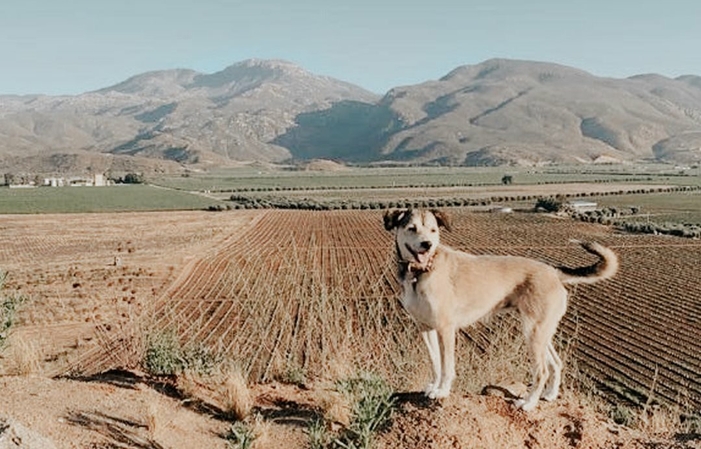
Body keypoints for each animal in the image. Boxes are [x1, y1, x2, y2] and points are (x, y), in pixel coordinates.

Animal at [382, 208, 616, 412]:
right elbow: (435, 362)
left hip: (533, 333)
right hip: (542, 332)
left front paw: (443, 391)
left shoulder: (446, 328)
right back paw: (549, 395)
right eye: (412, 228)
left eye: (433, 230)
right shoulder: (425, 327)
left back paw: (529, 404)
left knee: (541, 371)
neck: (420, 272)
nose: (427, 245)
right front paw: (433, 386)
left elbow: (447, 366)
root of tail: (553, 272)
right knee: (556, 363)